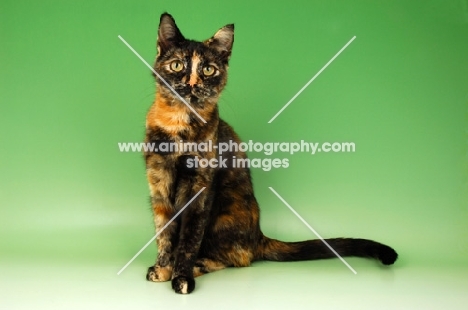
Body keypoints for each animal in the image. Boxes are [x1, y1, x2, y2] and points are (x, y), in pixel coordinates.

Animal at [144, 12, 398, 294]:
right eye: (177, 65)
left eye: (208, 69)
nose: (191, 83)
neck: (177, 124)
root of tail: (259, 236)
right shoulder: (158, 185)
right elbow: (164, 233)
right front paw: (163, 268)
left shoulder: (199, 189)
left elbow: (189, 239)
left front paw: (182, 276)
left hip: (225, 216)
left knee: (238, 257)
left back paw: (201, 264)